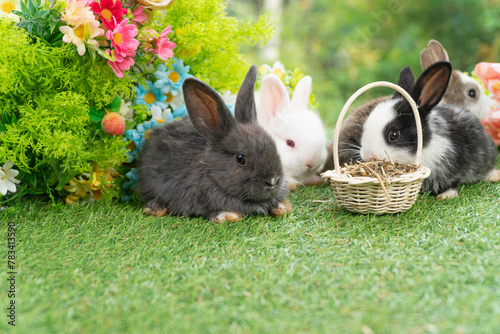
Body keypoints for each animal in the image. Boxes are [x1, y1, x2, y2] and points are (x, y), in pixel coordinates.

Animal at [137, 65, 292, 222]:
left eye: (275, 147)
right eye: (240, 159)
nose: (272, 180)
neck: (212, 172)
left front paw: (282, 208)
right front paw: (229, 216)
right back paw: (156, 209)